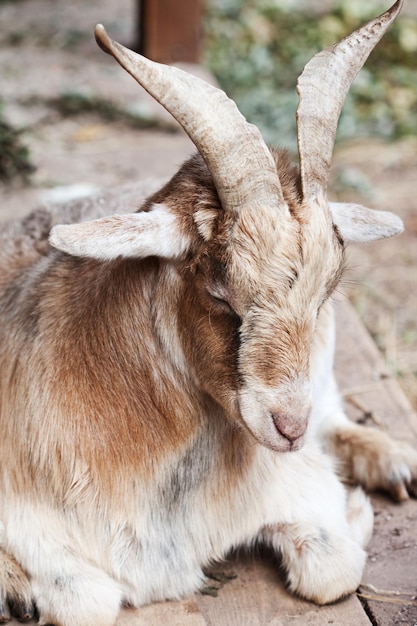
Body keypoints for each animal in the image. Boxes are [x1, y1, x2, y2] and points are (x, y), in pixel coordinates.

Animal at [0, 1, 416, 624]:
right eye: (220, 292)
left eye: (326, 291)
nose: (288, 428)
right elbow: (86, 602)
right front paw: (20, 588)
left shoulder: (298, 484)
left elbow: (333, 570)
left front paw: (358, 510)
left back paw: (394, 461)